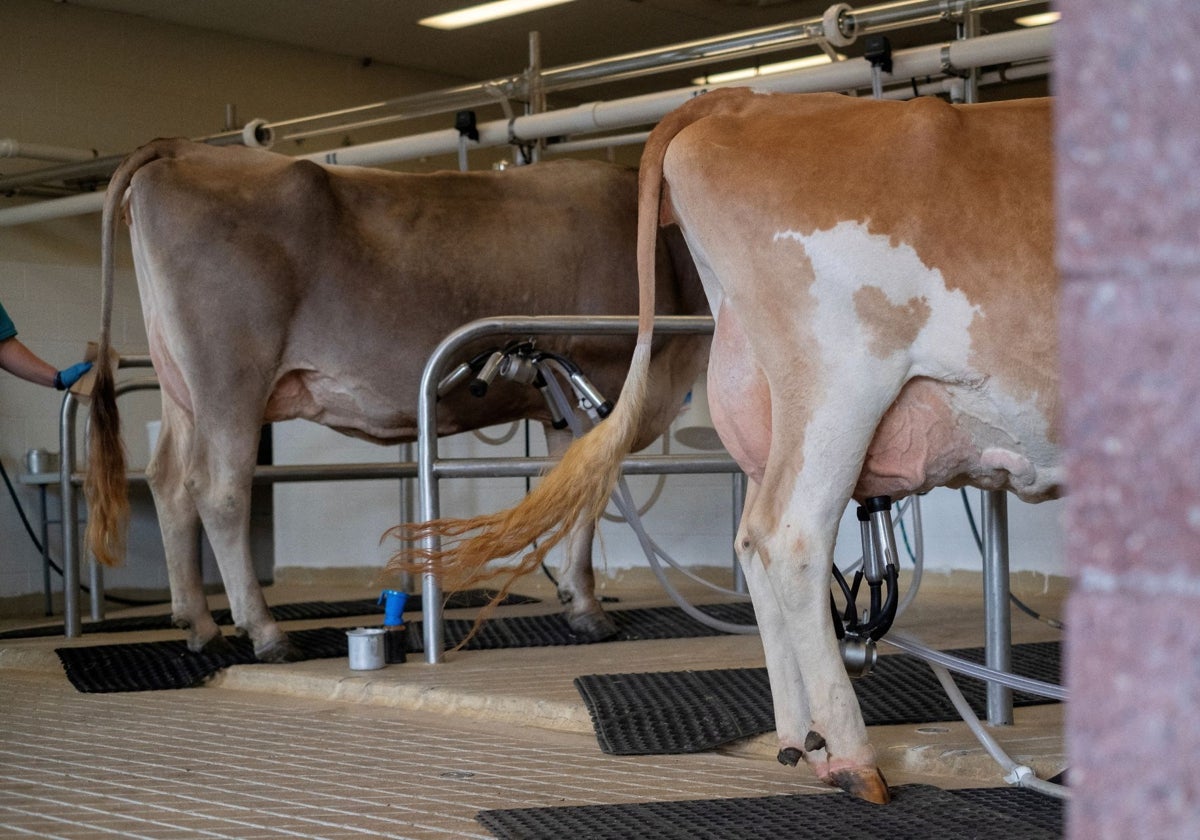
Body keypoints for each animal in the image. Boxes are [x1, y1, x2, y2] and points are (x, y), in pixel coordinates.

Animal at [88, 139, 705, 662]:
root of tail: (183, 148)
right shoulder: (599, 381)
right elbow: (588, 497)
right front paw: (588, 609)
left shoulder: (558, 399)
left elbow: (566, 492)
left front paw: (574, 598)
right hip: (230, 375)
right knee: (218, 489)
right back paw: (264, 632)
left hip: (181, 387)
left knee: (168, 480)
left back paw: (198, 624)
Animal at [388, 88, 1056, 801]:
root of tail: (749, 98)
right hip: (840, 386)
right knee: (790, 536)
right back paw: (852, 759)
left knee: (752, 541)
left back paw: (802, 739)